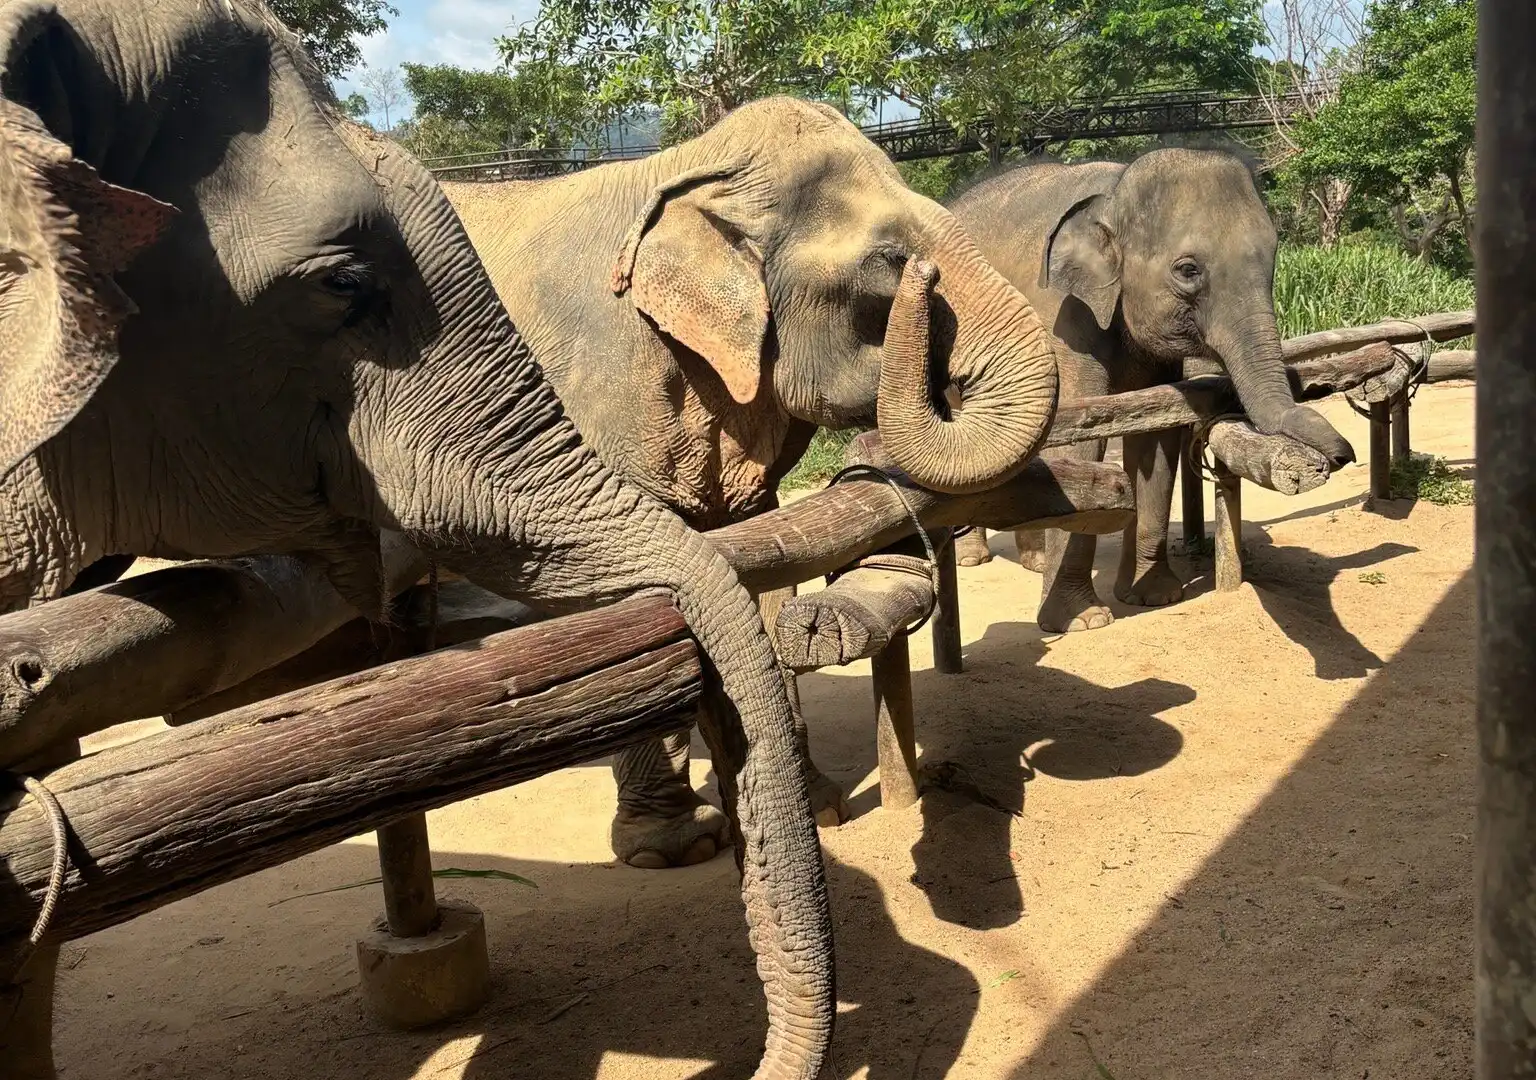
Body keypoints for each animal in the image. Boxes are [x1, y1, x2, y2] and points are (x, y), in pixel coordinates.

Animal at [439, 97, 1060, 868]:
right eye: (890, 261)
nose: (920, 274)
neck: (690, 169)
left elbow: (762, 563)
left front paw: (819, 808)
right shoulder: (587, 395)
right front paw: (672, 848)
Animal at [946, 149, 1356, 632]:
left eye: (1272, 260)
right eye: (1188, 270)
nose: (1343, 455)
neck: (1114, 193)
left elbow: (1157, 439)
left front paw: (1154, 596)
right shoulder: (1065, 318)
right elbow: (1080, 441)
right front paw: (1081, 621)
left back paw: (1034, 560)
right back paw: (972, 558)